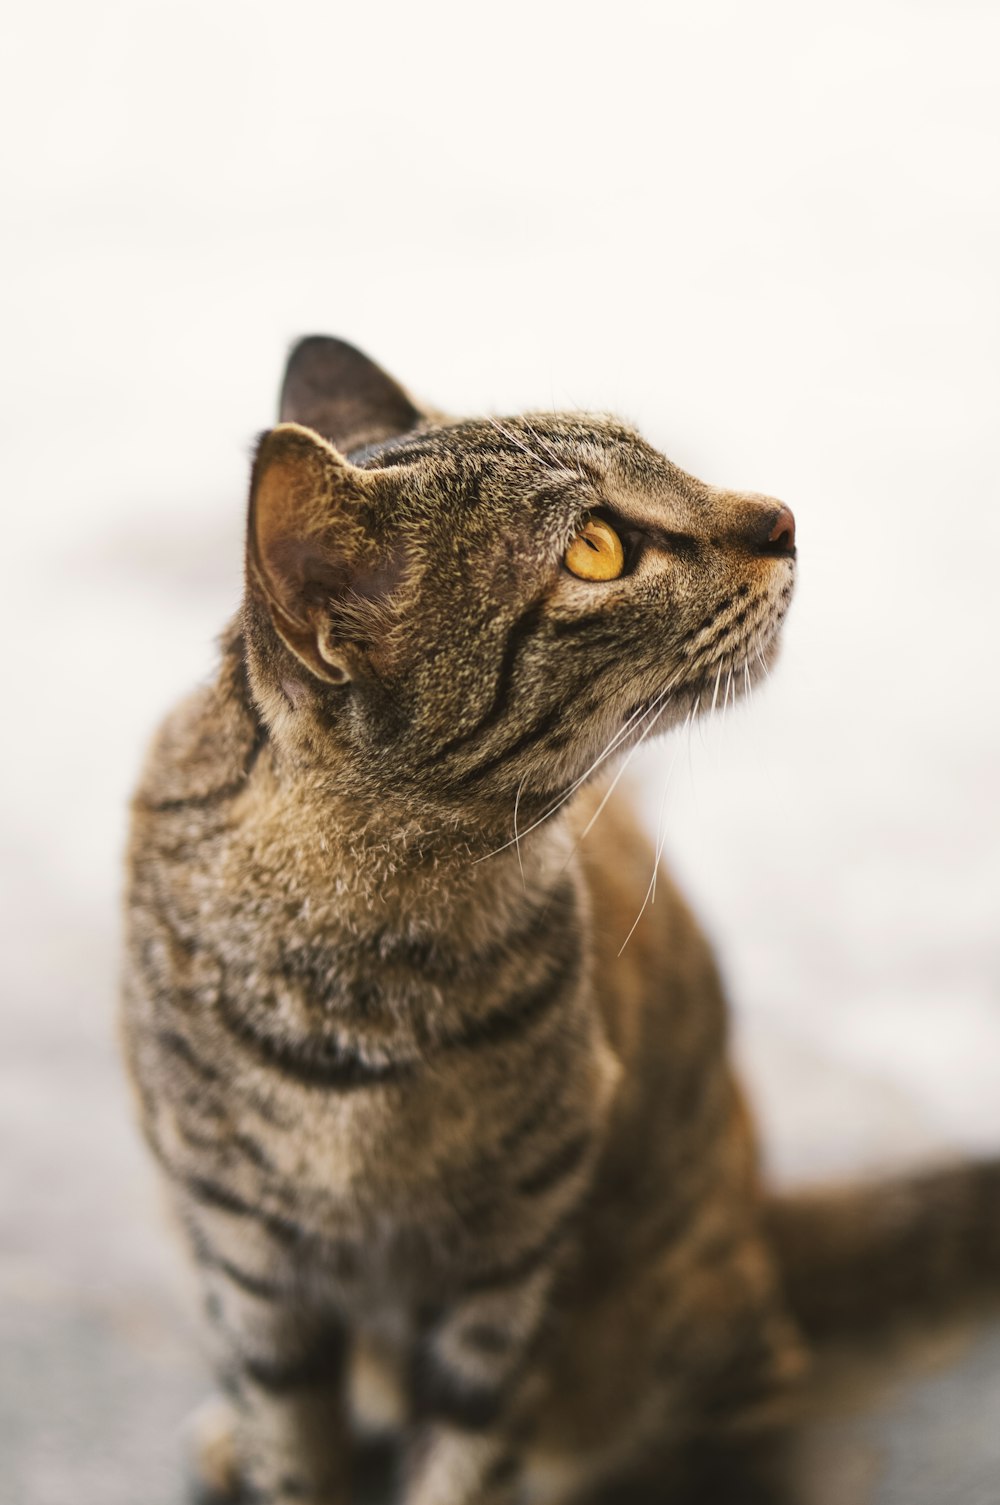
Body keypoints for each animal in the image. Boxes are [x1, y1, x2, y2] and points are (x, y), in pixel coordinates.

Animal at [121, 341, 993, 1505]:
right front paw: (269, 1450)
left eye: (664, 459)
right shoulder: (247, 1258)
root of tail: (757, 1203)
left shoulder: (511, 1267)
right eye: (596, 547)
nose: (781, 515)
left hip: (685, 1315)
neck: (368, 965)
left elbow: (464, 1455)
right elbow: (292, 1441)